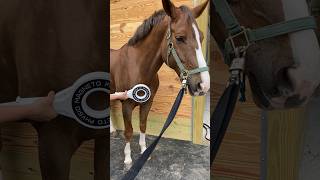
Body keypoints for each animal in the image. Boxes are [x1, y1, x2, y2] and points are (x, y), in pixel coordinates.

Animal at [111, 0, 211, 165]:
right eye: (180, 38)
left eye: (201, 37)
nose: (203, 85)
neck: (137, 66)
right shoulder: (126, 105)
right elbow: (129, 131)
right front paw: (128, 158)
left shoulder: (147, 102)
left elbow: (142, 125)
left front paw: (144, 151)